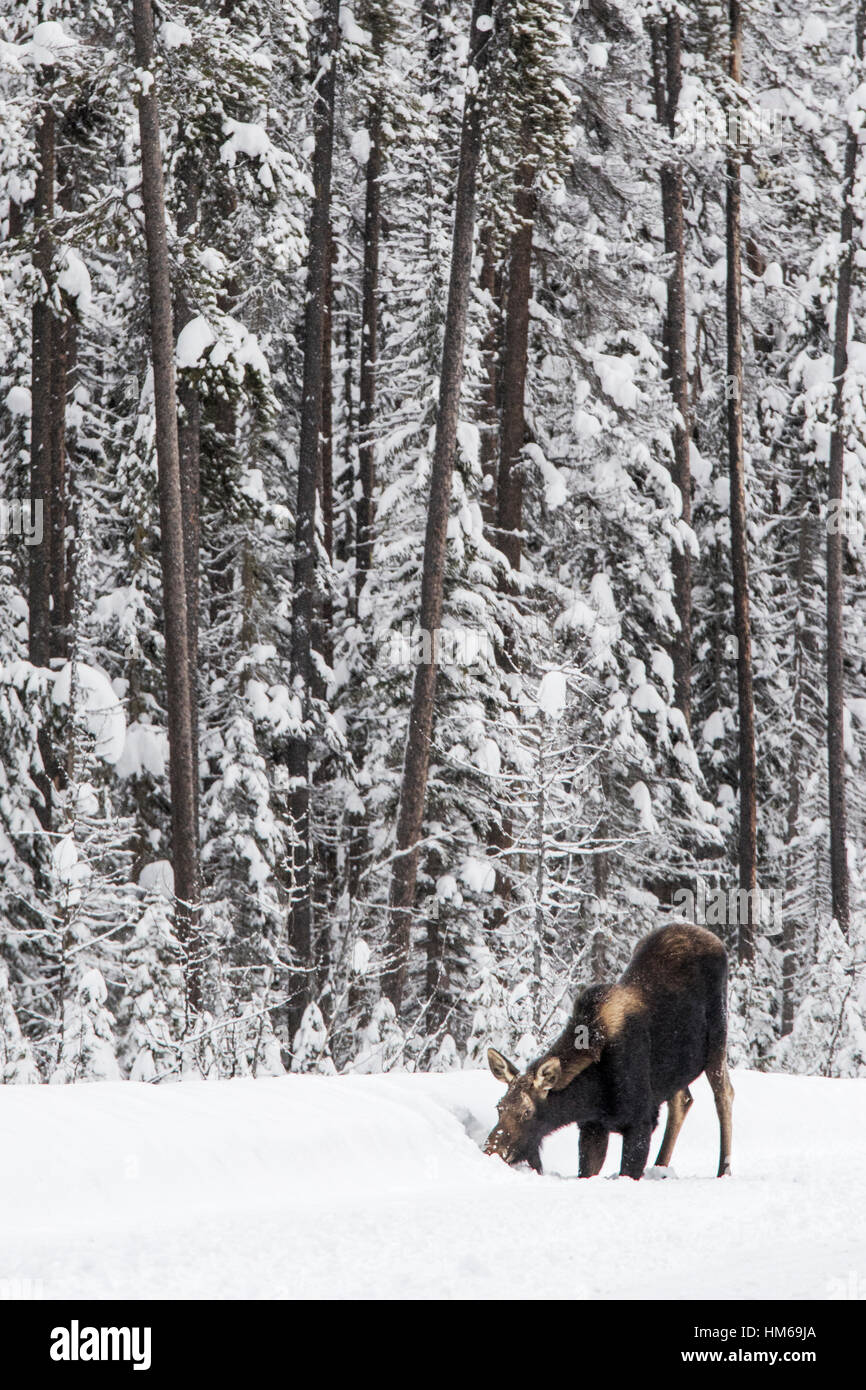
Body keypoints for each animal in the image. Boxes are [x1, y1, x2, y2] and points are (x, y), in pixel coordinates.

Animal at [483, 928, 733, 1178]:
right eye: (499, 1107)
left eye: (526, 1112)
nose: (491, 1151)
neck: (592, 1096)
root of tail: (712, 937)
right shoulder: (593, 1125)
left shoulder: (641, 1121)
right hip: (675, 1069)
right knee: (683, 1099)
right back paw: (660, 1166)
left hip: (717, 1041)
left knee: (724, 1094)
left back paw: (724, 1169)